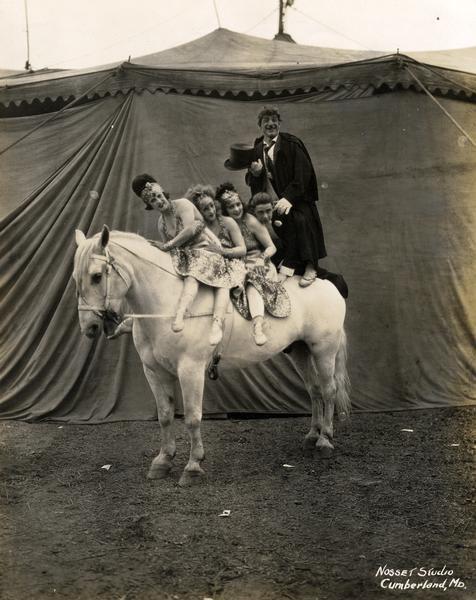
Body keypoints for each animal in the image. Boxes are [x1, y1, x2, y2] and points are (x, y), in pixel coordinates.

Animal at [73, 227, 350, 486]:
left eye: (97, 276)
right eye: (76, 278)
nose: (90, 327)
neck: (172, 306)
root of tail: (327, 283)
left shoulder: (191, 370)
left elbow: (193, 418)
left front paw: (193, 466)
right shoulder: (154, 371)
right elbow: (165, 415)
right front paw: (163, 461)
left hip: (324, 350)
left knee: (328, 390)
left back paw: (325, 440)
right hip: (300, 351)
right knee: (314, 390)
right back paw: (312, 436)